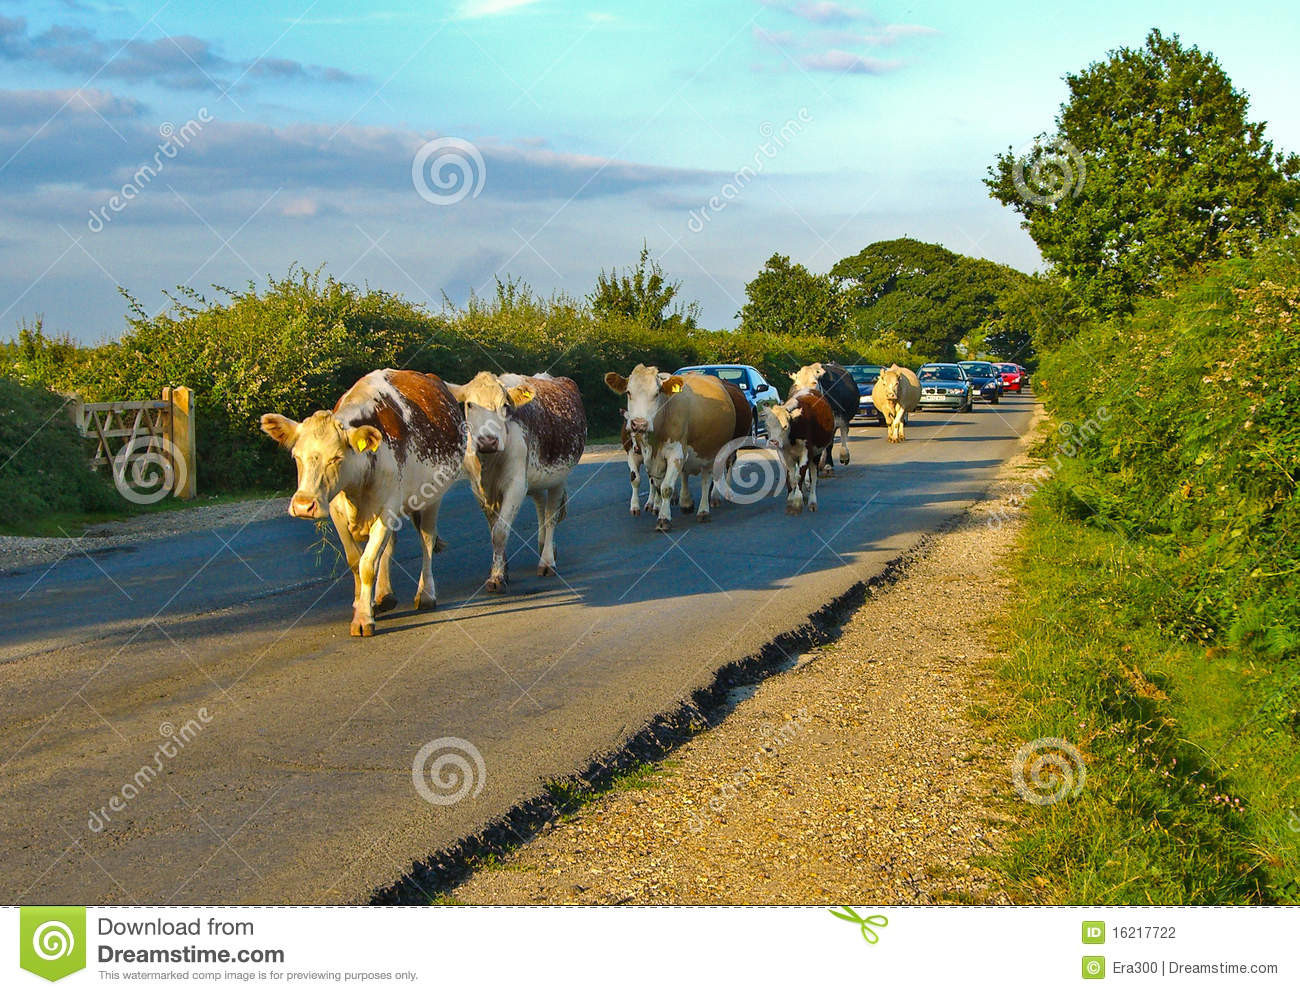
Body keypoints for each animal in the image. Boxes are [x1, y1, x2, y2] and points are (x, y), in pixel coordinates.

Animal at [260, 366, 467, 637]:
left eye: (336, 458)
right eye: (296, 456)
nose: (304, 505)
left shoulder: (387, 510)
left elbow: (368, 564)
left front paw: (363, 619)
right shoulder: (337, 511)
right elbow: (355, 561)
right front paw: (362, 603)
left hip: (431, 498)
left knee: (426, 541)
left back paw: (426, 595)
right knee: (390, 547)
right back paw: (383, 596)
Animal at [449, 371, 587, 590]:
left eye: (505, 405)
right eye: (470, 404)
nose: (488, 441)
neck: (489, 462)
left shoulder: (515, 486)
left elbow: (499, 532)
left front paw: (496, 578)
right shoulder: (478, 489)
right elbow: (493, 531)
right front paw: (500, 570)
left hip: (559, 477)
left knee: (550, 516)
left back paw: (547, 561)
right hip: (536, 478)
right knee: (540, 506)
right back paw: (543, 544)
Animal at [603, 364, 738, 530]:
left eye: (656, 393)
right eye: (628, 392)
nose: (639, 424)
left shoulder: (676, 454)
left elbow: (666, 488)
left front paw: (663, 518)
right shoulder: (643, 456)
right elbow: (647, 483)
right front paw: (652, 507)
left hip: (712, 452)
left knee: (706, 480)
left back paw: (704, 511)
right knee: (686, 474)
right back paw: (686, 503)